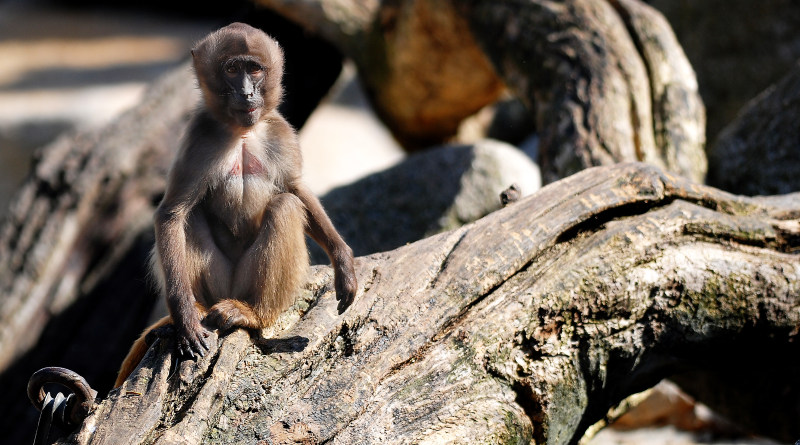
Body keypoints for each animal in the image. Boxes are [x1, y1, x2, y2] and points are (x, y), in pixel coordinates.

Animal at [114, 22, 358, 386]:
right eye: (231, 70)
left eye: (254, 69)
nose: (246, 93)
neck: (242, 131)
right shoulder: (199, 137)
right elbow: (172, 214)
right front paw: (184, 318)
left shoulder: (280, 132)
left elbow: (295, 189)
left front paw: (343, 263)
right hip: (218, 284)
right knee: (191, 217)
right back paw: (199, 310)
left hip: (245, 283)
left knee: (284, 207)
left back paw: (253, 315)